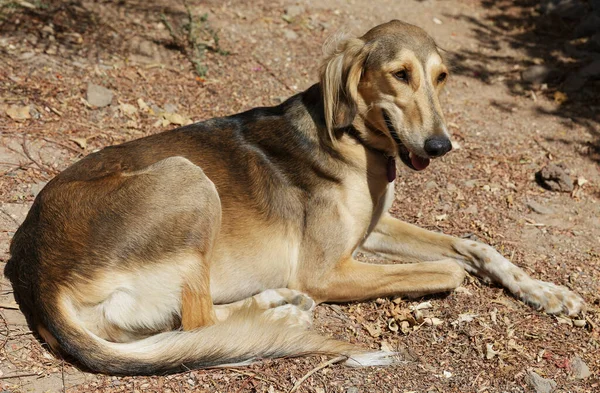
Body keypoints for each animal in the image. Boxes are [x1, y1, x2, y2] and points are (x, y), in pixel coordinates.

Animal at [3, 20, 584, 374]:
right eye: (400, 75)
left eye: (441, 78)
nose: (441, 147)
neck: (357, 142)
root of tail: (37, 276)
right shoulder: (328, 271)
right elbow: (452, 271)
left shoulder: (374, 228)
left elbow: (475, 247)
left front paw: (550, 293)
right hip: (188, 179)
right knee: (198, 321)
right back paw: (277, 316)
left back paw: (273, 305)